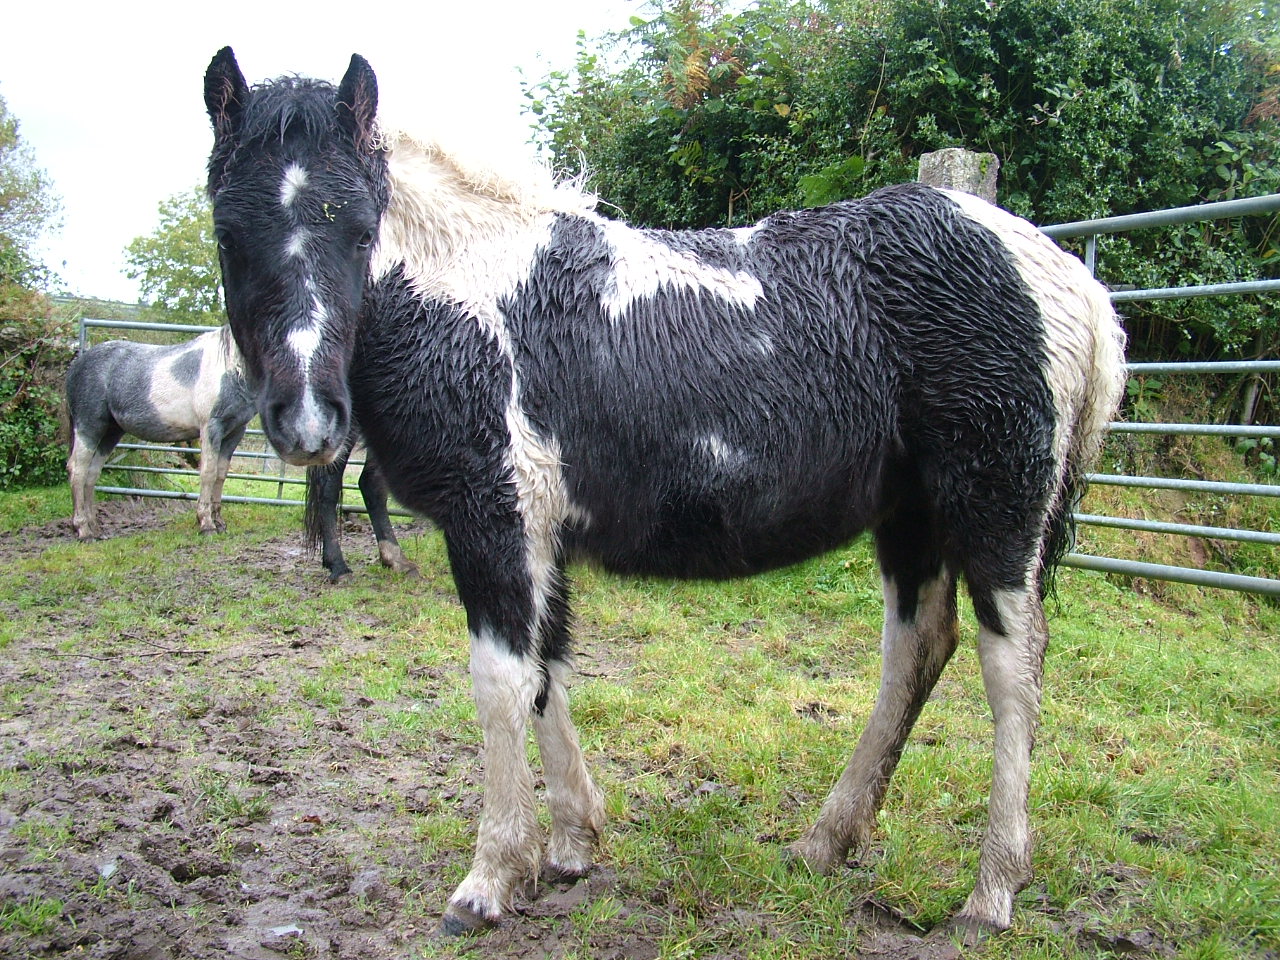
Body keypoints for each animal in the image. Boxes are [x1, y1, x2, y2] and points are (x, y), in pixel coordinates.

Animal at [66, 326, 416, 579]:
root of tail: (78, 363)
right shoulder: (211, 426)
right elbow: (208, 472)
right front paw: (206, 524)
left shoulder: (233, 431)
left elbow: (221, 473)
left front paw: (217, 522)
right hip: (91, 425)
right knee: (79, 469)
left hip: (110, 431)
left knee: (91, 473)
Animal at [202, 48, 1127, 938]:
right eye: (227, 230)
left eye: (361, 227)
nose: (308, 420)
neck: (468, 297)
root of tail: (1069, 282)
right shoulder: (540, 535)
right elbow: (547, 670)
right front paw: (573, 846)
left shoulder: (495, 522)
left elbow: (501, 683)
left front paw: (489, 880)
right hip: (911, 517)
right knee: (917, 649)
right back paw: (825, 843)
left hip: (997, 512)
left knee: (1012, 668)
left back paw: (990, 894)